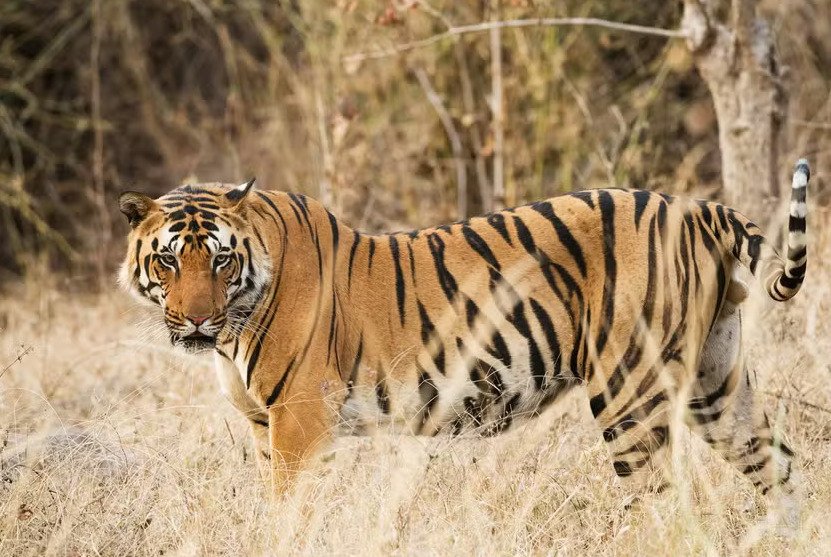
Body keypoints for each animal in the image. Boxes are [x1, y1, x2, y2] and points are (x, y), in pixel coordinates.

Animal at [118, 159, 809, 526]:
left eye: (220, 260)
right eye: (169, 261)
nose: (197, 322)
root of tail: (697, 208)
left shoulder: (300, 420)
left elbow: (289, 513)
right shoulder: (265, 425)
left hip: (629, 393)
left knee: (665, 507)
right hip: (717, 384)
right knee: (779, 466)